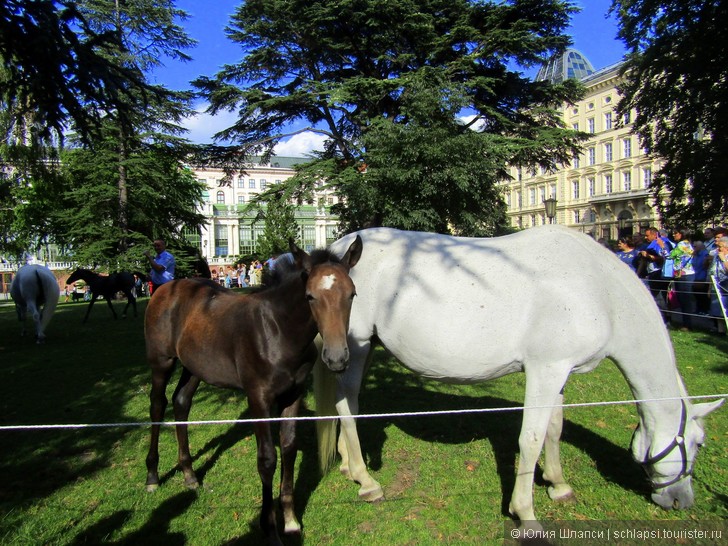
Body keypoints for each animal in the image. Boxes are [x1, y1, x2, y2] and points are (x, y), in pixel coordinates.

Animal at [144, 236, 362, 540]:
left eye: (352, 294)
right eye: (309, 296)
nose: (337, 358)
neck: (278, 330)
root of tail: (165, 288)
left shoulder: (292, 395)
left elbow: (289, 448)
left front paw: (290, 520)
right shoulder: (258, 397)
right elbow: (267, 459)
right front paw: (269, 529)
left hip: (194, 366)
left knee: (181, 402)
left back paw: (189, 475)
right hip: (160, 362)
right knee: (157, 405)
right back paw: (152, 476)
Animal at [316, 224, 724, 528]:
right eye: (699, 443)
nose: (681, 501)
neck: (599, 289)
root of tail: (337, 250)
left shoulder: (560, 372)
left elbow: (554, 429)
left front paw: (558, 485)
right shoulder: (545, 370)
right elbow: (530, 438)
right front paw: (525, 513)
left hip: (363, 348)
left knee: (343, 402)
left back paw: (347, 464)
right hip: (355, 348)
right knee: (347, 405)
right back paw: (366, 480)